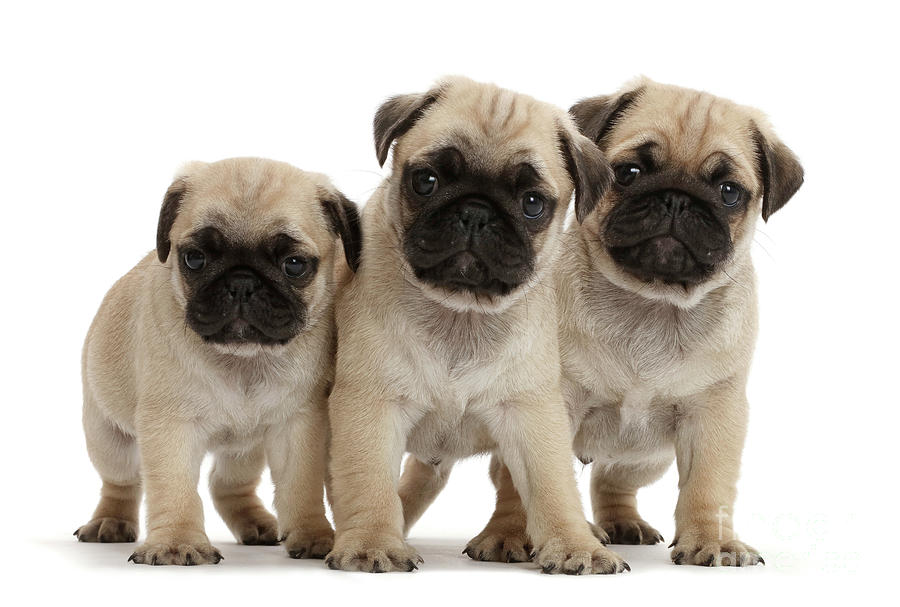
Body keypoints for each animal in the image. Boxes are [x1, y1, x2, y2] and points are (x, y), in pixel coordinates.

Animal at [74, 157, 362, 564]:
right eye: (194, 259)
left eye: (294, 265)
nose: (241, 282)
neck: (243, 361)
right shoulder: (170, 426)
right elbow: (174, 487)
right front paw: (177, 542)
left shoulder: (299, 425)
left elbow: (301, 486)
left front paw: (313, 533)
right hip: (106, 434)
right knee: (121, 481)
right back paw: (109, 522)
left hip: (245, 449)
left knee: (225, 484)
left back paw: (256, 523)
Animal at [326, 76, 628, 576]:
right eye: (425, 181)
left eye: (532, 204)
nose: (476, 211)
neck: (460, 314)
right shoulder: (371, 406)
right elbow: (369, 482)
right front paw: (371, 542)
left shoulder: (531, 417)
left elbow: (551, 487)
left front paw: (574, 545)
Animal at [426, 77, 804, 568]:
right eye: (628, 173)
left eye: (728, 192)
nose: (676, 199)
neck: (650, 304)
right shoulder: (548, 406)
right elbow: (522, 481)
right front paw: (510, 534)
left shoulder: (715, 412)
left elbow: (709, 484)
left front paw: (713, 540)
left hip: (645, 458)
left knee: (610, 480)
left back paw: (621, 523)